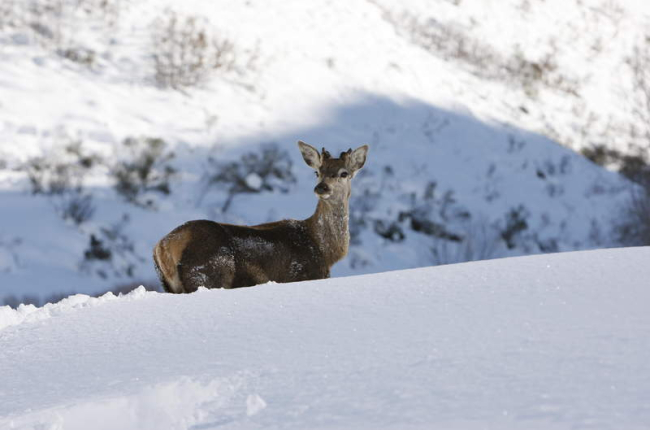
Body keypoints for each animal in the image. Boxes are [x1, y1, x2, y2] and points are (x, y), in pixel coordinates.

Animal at [151, 141, 364, 292]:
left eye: (344, 173)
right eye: (317, 172)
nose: (322, 187)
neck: (326, 251)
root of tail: (163, 246)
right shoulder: (304, 274)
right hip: (206, 272)